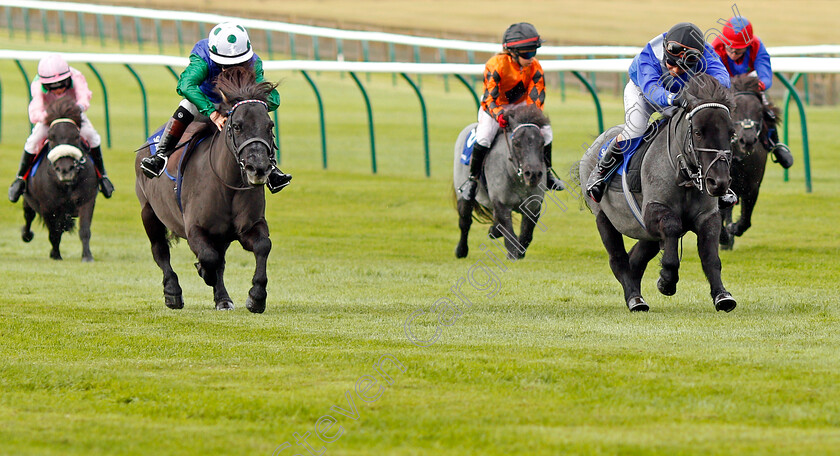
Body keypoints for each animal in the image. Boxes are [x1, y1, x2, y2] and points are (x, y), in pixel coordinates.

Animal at [21, 98, 97, 262]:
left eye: (76, 136)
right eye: (51, 137)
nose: (65, 170)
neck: (65, 185)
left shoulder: (87, 200)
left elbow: (84, 230)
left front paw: (87, 256)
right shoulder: (48, 207)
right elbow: (54, 234)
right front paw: (56, 255)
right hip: (27, 199)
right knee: (28, 215)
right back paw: (26, 235)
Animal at [136, 65, 278, 314]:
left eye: (269, 126)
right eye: (237, 126)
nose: (258, 168)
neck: (226, 185)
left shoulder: (249, 225)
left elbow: (262, 246)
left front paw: (256, 297)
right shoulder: (194, 228)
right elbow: (209, 258)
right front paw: (203, 271)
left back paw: (222, 298)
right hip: (149, 212)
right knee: (160, 250)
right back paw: (172, 292)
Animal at [452, 104, 552, 260]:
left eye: (542, 143)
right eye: (516, 143)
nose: (533, 174)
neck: (516, 177)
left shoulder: (533, 205)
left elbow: (526, 234)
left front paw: (518, 252)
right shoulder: (501, 203)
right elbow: (509, 233)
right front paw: (513, 254)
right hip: (463, 195)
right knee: (465, 222)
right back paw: (461, 250)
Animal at [580, 75, 740, 312]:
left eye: (731, 133)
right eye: (698, 132)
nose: (718, 182)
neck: (683, 176)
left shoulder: (707, 216)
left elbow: (711, 257)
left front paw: (722, 296)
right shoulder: (654, 211)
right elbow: (673, 229)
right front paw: (666, 280)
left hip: (645, 231)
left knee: (636, 258)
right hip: (604, 218)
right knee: (618, 259)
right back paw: (635, 299)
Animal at [720, 74, 776, 249]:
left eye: (759, 110)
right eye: (735, 108)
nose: (748, 140)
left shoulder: (753, 186)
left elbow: (746, 219)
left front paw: (734, 229)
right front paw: (724, 237)